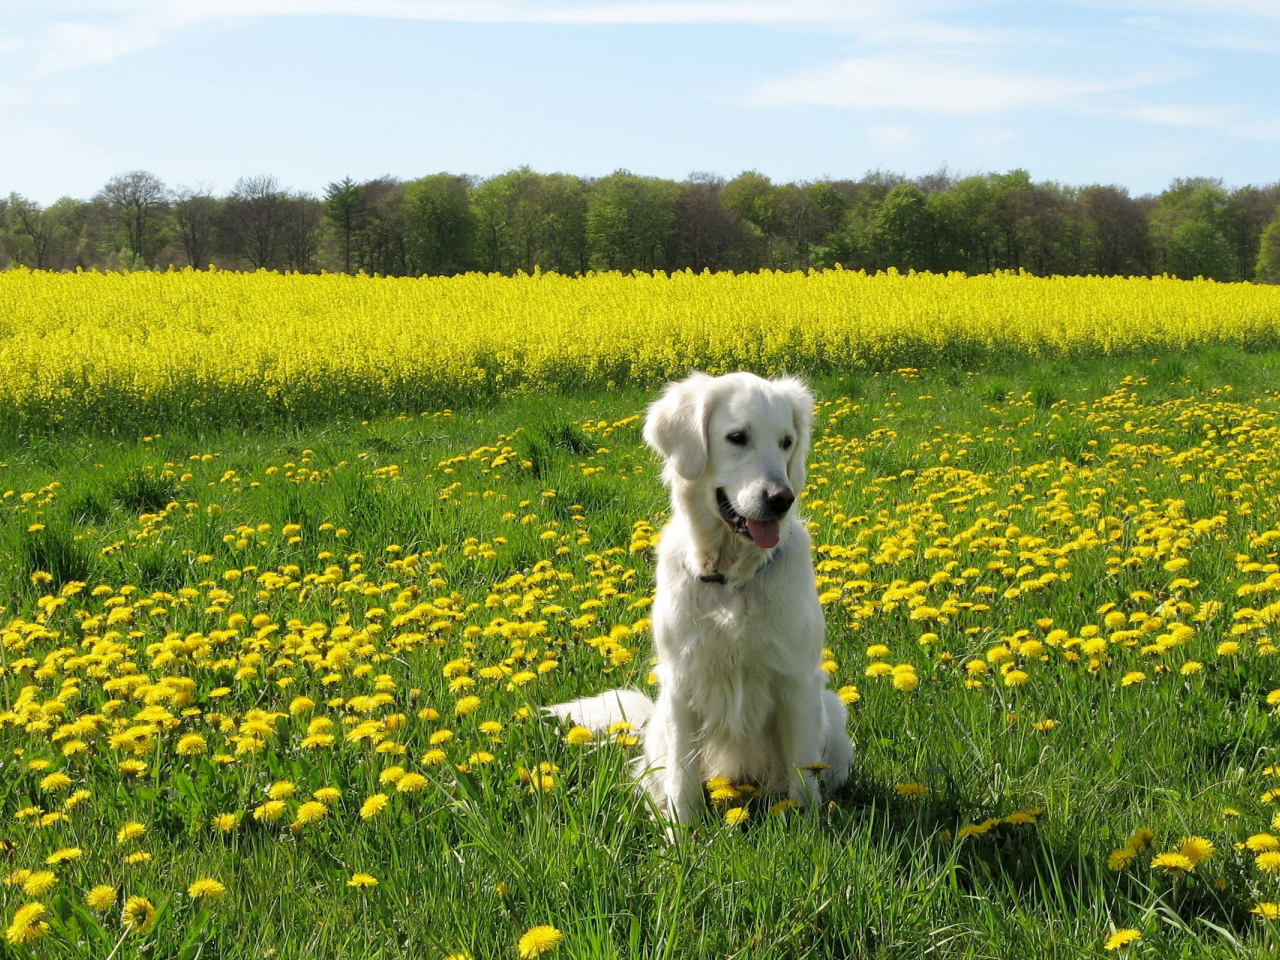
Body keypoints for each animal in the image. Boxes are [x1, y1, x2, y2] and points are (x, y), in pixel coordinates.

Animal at [547, 371, 849, 829]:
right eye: (737, 437)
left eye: (787, 441)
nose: (782, 499)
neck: (731, 579)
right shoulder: (682, 682)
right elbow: (683, 775)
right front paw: (682, 833)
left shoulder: (797, 680)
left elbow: (802, 771)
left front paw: (806, 826)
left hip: (831, 711)